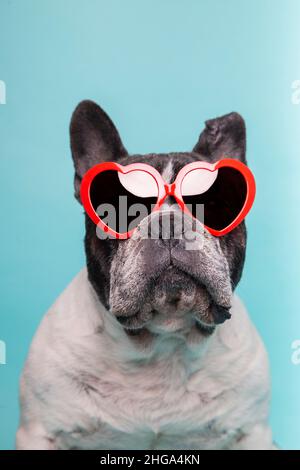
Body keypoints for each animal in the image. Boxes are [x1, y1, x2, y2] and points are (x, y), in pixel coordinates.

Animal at [16, 101, 274, 450]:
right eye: (119, 210)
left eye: (213, 205)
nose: (167, 225)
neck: (162, 343)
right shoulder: (42, 432)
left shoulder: (251, 432)